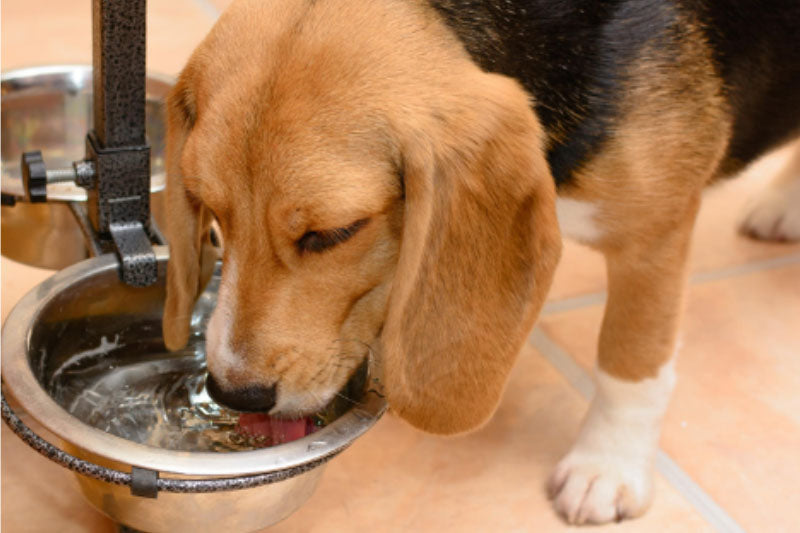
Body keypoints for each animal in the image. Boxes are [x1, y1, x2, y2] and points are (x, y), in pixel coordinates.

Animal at [162, 0, 800, 524]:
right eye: (214, 220)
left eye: (332, 234)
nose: (234, 395)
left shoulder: (654, 236)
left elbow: (631, 358)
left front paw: (607, 465)